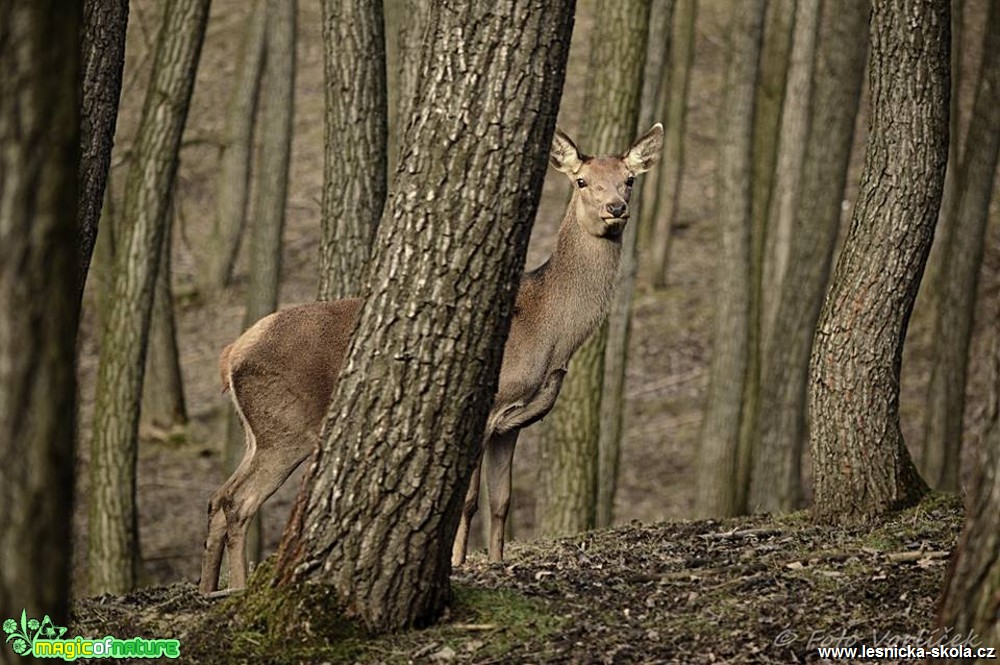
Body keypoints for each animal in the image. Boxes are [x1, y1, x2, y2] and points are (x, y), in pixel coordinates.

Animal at [198, 123, 660, 592]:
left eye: (629, 179)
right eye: (582, 181)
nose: (616, 208)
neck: (548, 332)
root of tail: (231, 354)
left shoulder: (513, 423)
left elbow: (502, 501)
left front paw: (497, 562)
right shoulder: (486, 406)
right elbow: (469, 500)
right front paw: (457, 564)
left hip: (257, 431)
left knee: (217, 498)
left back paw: (207, 588)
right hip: (286, 427)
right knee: (238, 502)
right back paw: (237, 588)